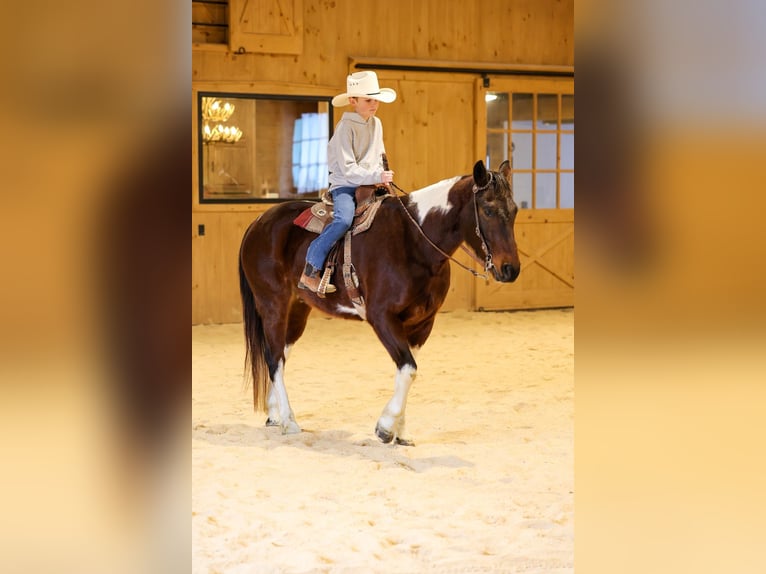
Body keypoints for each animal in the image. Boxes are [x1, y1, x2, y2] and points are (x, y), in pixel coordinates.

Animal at [238, 160, 520, 445]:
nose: (511, 270)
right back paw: (288, 420)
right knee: (274, 358)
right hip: (273, 305)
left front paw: (401, 431)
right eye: (488, 210)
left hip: (297, 309)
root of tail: (258, 223)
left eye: (515, 210)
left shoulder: (422, 324)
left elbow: (406, 371)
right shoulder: (382, 317)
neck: (414, 242)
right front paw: (385, 427)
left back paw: (274, 414)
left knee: (282, 355)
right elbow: (409, 369)